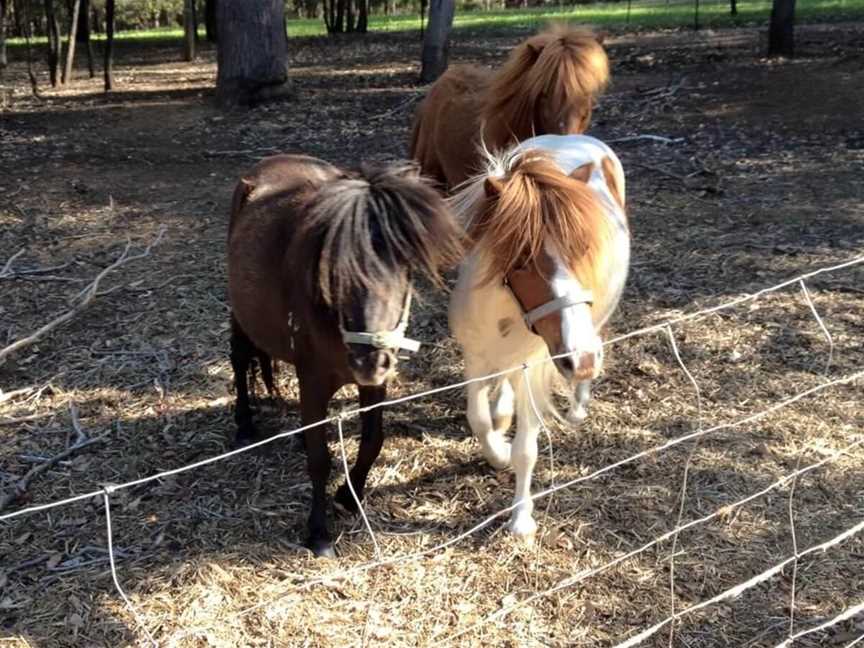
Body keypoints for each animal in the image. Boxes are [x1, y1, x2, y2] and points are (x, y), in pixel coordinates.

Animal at [226, 153, 462, 556]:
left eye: (403, 267)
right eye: (336, 271)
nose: (370, 361)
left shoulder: (375, 386)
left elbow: (372, 440)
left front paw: (350, 497)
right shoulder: (314, 381)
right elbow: (320, 460)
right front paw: (319, 532)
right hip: (241, 318)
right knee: (240, 361)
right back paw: (245, 425)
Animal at [452, 134, 628, 540]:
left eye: (584, 249)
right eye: (520, 260)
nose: (581, 362)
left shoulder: (536, 366)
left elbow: (526, 449)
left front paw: (521, 519)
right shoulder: (475, 356)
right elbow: (479, 418)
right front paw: (497, 449)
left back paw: (578, 405)